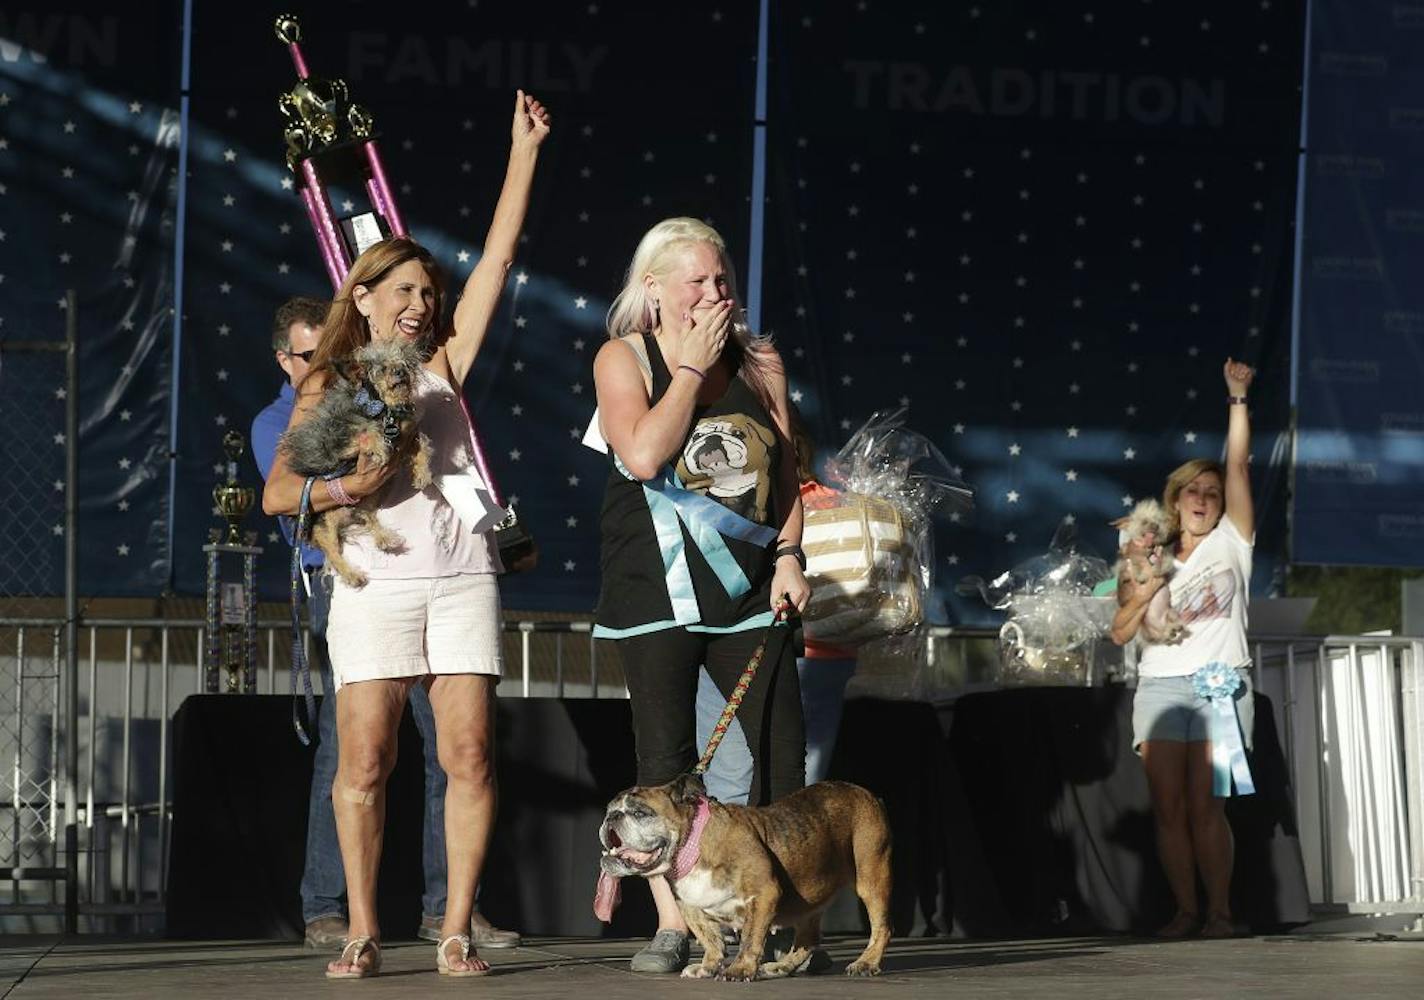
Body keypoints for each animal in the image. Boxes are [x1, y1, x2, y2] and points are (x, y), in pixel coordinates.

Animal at [592, 774, 888, 980]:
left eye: (640, 813)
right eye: (610, 809)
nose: (611, 816)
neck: (692, 844)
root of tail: (865, 793)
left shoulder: (764, 893)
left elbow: (750, 938)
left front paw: (741, 969)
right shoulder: (689, 906)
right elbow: (709, 938)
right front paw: (708, 966)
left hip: (872, 878)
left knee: (881, 927)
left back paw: (866, 963)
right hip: (808, 901)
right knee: (808, 939)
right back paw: (781, 967)